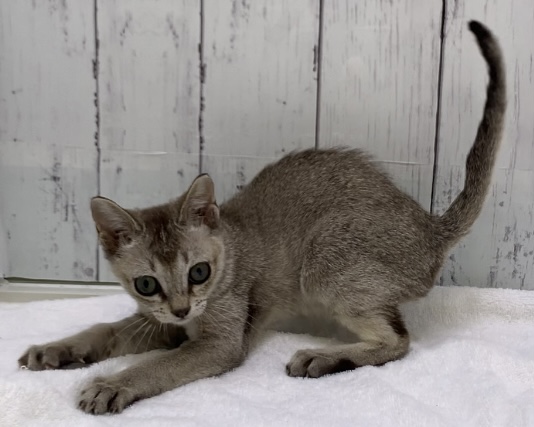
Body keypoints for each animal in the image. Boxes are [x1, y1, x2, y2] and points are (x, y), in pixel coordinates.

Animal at [18, 21, 506, 415]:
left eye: (199, 272)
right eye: (146, 284)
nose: (180, 309)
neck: (229, 250)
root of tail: (430, 229)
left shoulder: (219, 342)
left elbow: (158, 366)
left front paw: (112, 384)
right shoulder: (161, 324)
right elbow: (106, 329)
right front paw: (55, 350)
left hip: (325, 259)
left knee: (399, 341)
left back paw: (322, 358)